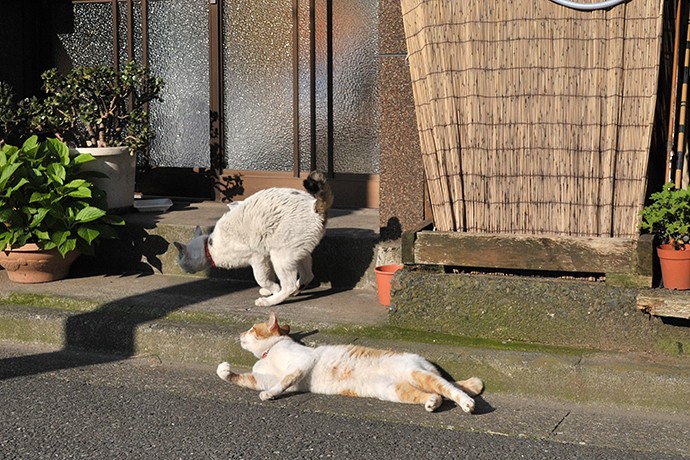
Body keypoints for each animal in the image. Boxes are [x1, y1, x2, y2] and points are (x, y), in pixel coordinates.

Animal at [173, 171, 332, 308]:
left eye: (180, 258)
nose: (181, 268)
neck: (210, 246)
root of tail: (313, 206)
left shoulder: (257, 257)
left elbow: (261, 279)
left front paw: (273, 290)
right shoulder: (266, 257)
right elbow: (269, 276)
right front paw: (271, 290)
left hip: (281, 255)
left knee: (289, 284)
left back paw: (270, 301)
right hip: (298, 253)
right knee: (307, 276)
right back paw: (295, 291)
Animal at [216, 312, 484, 414]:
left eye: (252, 329)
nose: (240, 333)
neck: (269, 353)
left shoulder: (300, 363)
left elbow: (284, 381)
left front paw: (271, 394)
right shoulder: (261, 378)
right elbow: (242, 378)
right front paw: (224, 369)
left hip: (417, 374)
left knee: (451, 388)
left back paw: (467, 404)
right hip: (394, 391)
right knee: (435, 394)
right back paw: (432, 403)